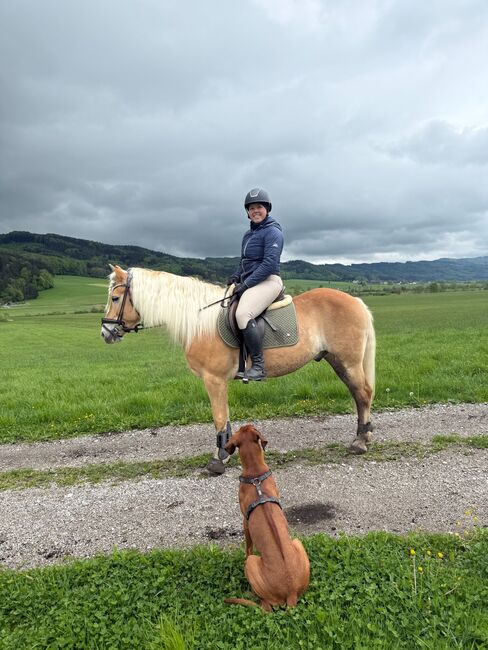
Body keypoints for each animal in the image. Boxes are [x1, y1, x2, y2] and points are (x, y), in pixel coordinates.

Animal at [101, 265, 376, 474]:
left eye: (115, 298)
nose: (106, 333)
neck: (200, 320)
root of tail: (355, 300)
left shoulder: (214, 379)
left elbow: (219, 418)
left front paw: (218, 459)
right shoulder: (219, 381)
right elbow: (226, 418)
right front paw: (227, 451)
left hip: (348, 361)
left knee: (363, 394)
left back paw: (360, 441)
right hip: (338, 361)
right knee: (358, 394)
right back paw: (364, 435)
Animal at [224, 424, 310, 612]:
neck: (255, 474)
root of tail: (291, 593)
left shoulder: (245, 523)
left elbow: (248, 547)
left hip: (252, 565)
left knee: (265, 606)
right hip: (298, 543)